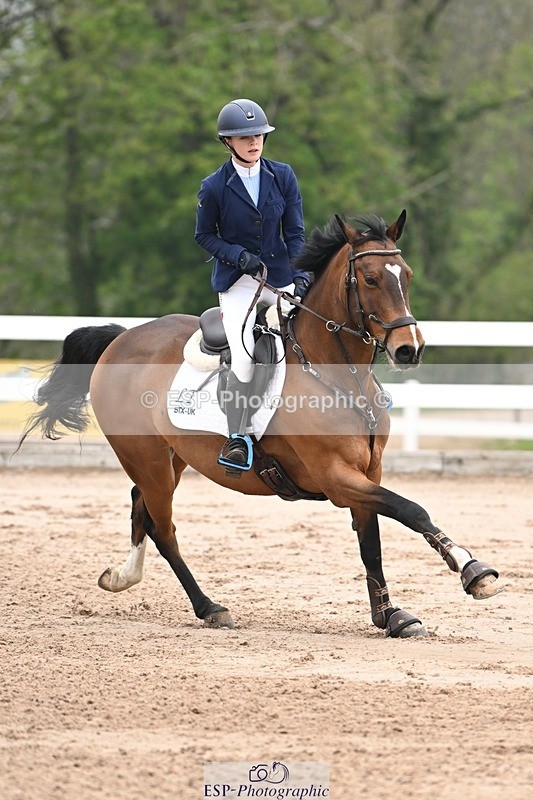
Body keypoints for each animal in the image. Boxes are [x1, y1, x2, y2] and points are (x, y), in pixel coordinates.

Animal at [19, 211, 502, 637]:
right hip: (146, 457)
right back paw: (210, 608)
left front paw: (391, 617)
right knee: (164, 528)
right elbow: (410, 509)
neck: (339, 376)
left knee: (143, 508)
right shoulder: (336, 478)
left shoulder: (368, 472)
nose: (408, 349)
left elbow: (373, 544)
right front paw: (472, 570)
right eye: (369, 279)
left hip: (170, 457)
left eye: (407, 275)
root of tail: (121, 339)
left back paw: (122, 577)